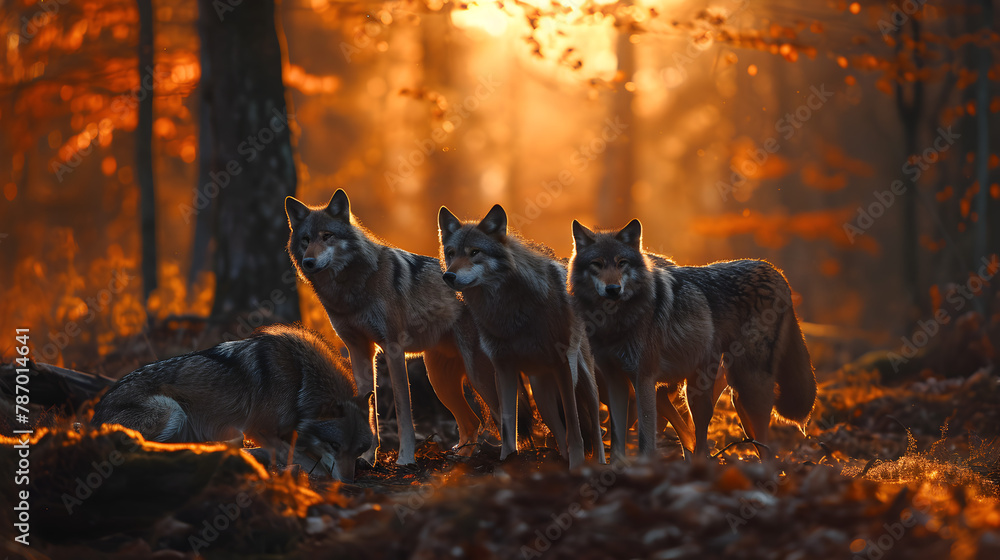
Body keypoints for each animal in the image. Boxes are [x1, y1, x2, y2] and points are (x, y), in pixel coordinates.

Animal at [91, 325, 373, 482]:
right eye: (335, 445)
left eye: (359, 448)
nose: (348, 482)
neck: (300, 377)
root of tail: (95, 417)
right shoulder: (258, 429)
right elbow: (309, 462)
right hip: (173, 410)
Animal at [286, 189, 500, 466]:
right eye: (305, 239)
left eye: (327, 236)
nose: (309, 262)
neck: (351, 290)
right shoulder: (360, 351)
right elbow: (368, 407)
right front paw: (367, 458)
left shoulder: (393, 348)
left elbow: (403, 413)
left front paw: (405, 459)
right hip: (440, 382)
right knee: (473, 422)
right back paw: (460, 459)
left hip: (476, 375)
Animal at [438, 204, 605, 469]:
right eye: (451, 253)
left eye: (475, 252)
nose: (448, 276)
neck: (508, 310)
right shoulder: (503, 368)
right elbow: (509, 426)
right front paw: (508, 461)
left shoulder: (562, 366)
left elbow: (575, 426)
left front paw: (577, 465)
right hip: (542, 397)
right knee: (559, 434)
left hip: (584, 380)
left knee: (595, 429)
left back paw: (599, 463)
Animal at [569, 219, 816, 460]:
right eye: (597, 264)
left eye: (622, 263)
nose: (613, 289)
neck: (615, 322)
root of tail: (774, 271)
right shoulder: (616, 381)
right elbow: (617, 440)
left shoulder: (644, 378)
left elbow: (645, 440)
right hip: (714, 389)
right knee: (706, 436)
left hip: (746, 385)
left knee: (764, 447)